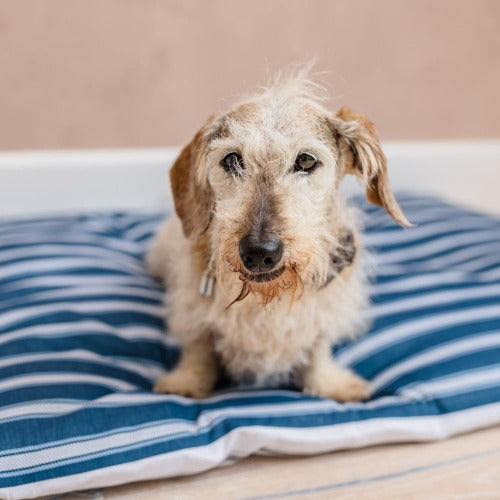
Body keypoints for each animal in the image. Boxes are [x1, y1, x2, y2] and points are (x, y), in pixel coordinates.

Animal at [146, 70, 410, 400]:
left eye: (306, 160)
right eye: (232, 160)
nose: (260, 253)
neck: (268, 295)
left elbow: (318, 349)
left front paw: (331, 384)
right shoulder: (193, 312)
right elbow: (199, 349)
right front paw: (186, 384)